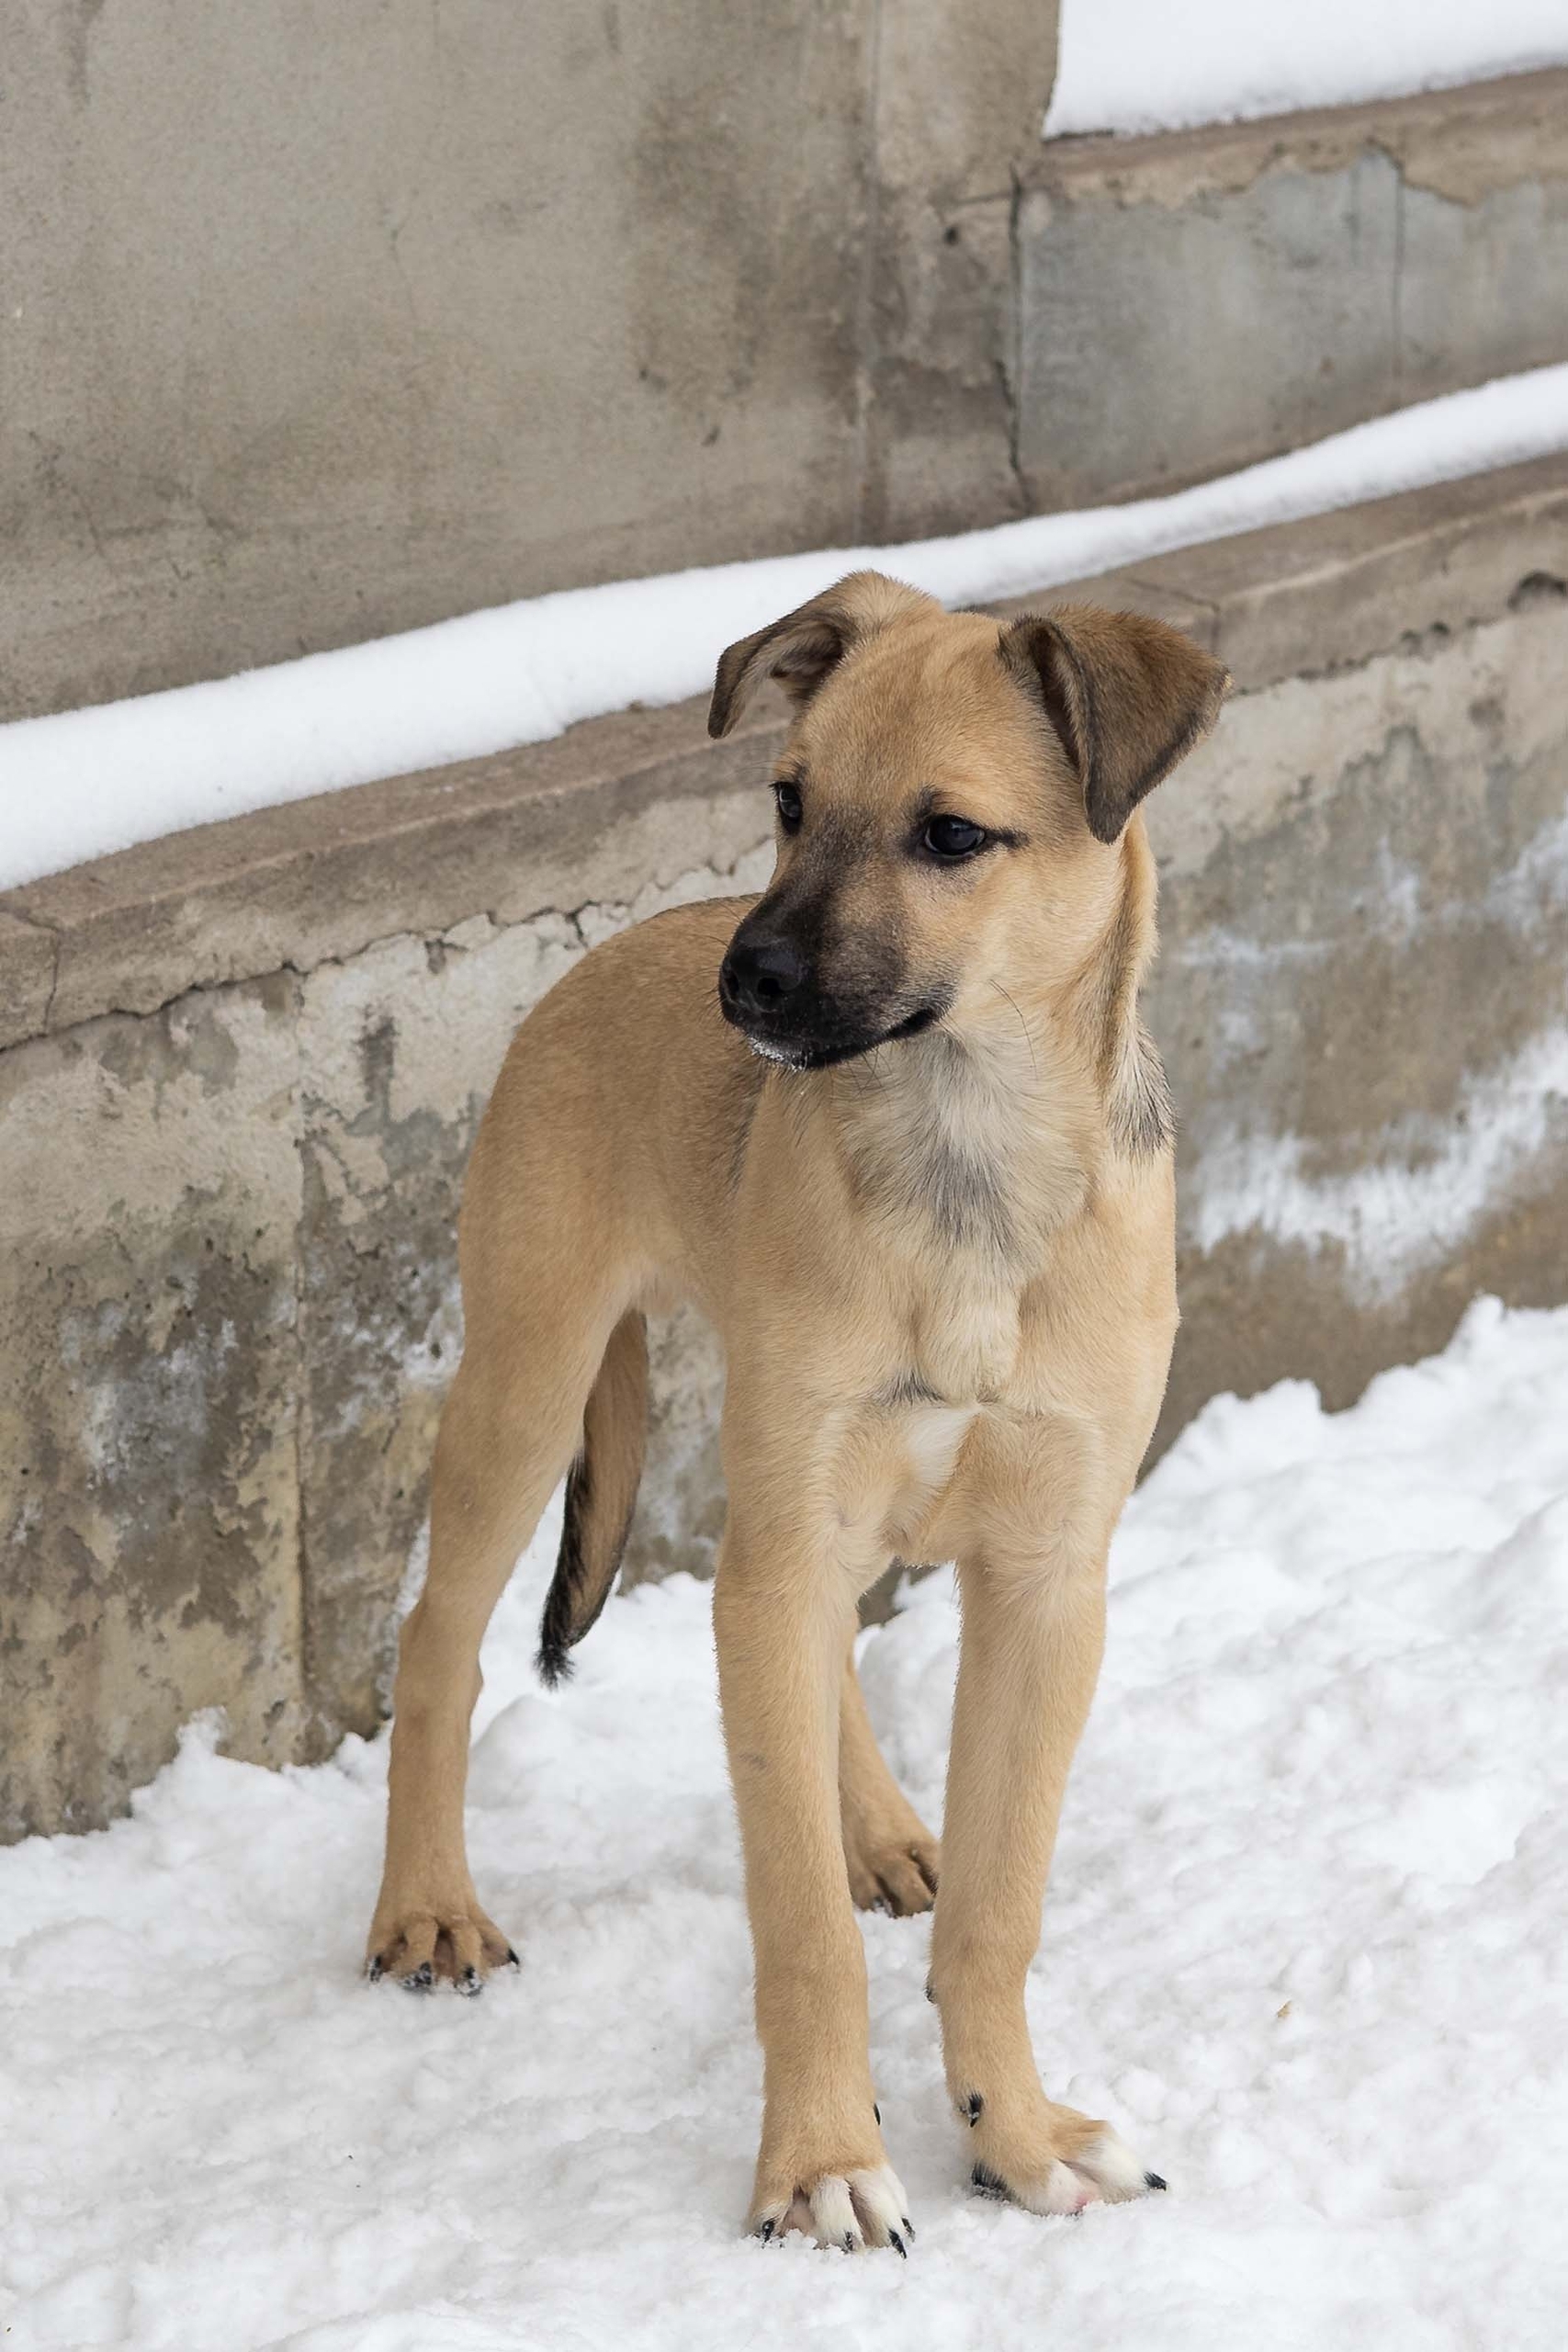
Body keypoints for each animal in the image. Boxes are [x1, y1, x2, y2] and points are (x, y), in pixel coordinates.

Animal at [366, 570, 1229, 2250]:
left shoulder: (1048, 1581)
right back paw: (427, 1906)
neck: (967, 1169)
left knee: (820, 1651)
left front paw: (1014, 2134)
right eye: (785, 800)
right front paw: (824, 2162)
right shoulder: (783, 1534)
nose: (744, 987)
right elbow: (797, 1926)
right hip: (534, 1379)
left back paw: (884, 1830)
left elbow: (1000, 1905)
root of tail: (607, 957)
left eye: (950, 836)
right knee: (437, 1644)